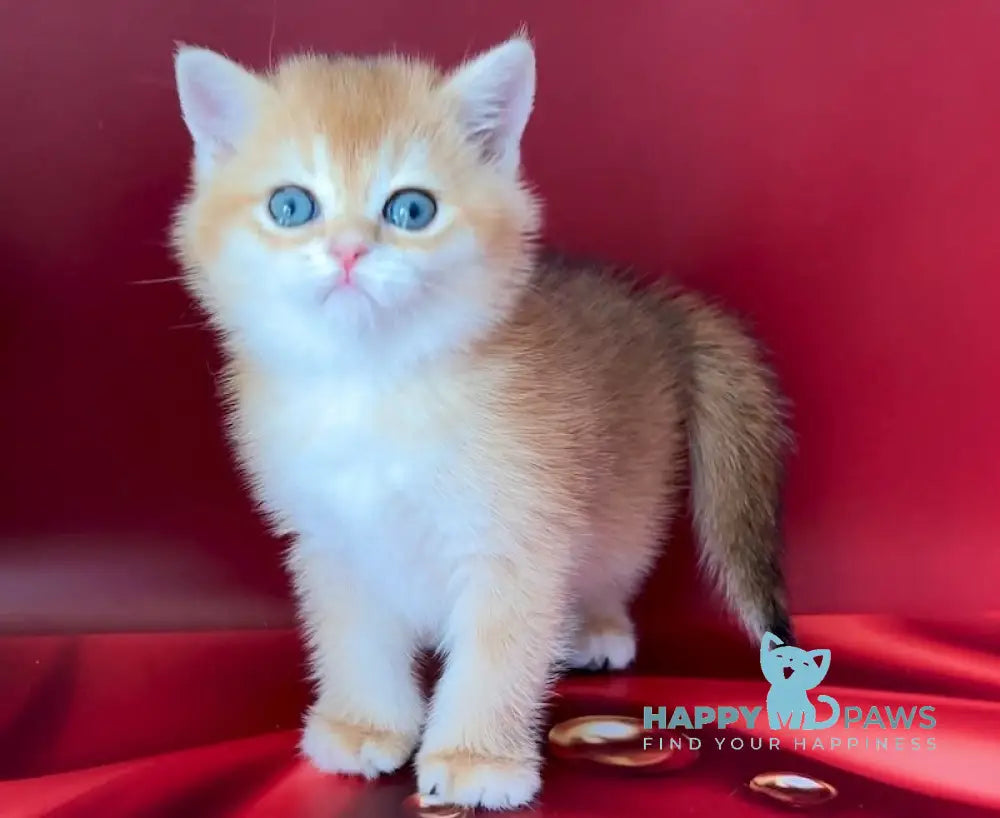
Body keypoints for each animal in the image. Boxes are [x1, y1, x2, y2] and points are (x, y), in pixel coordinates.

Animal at [174, 36, 796, 808]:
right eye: (291, 205)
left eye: (411, 208)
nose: (349, 251)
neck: (376, 386)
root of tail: (652, 307)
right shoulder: (333, 543)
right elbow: (354, 639)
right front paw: (364, 724)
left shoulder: (519, 540)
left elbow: (497, 655)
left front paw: (476, 759)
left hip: (626, 505)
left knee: (610, 569)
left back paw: (593, 628)